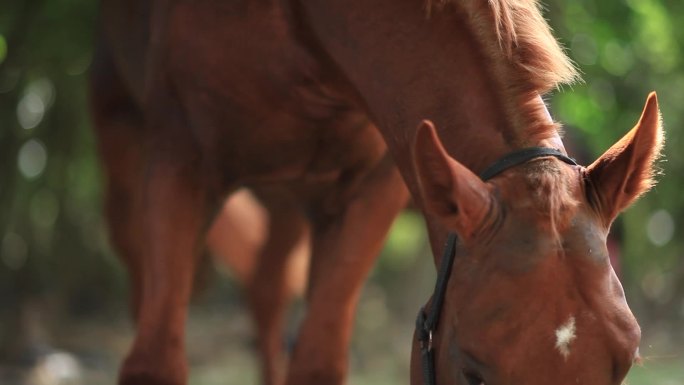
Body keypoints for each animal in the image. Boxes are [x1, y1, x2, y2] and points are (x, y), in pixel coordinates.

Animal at [91, 0, 664, 382]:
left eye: (622, 364)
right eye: (474, 373)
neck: (301, 26)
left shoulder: (369, 190)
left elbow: (316, 362)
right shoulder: (179, 161)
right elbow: (154, 362)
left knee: (267, 290)